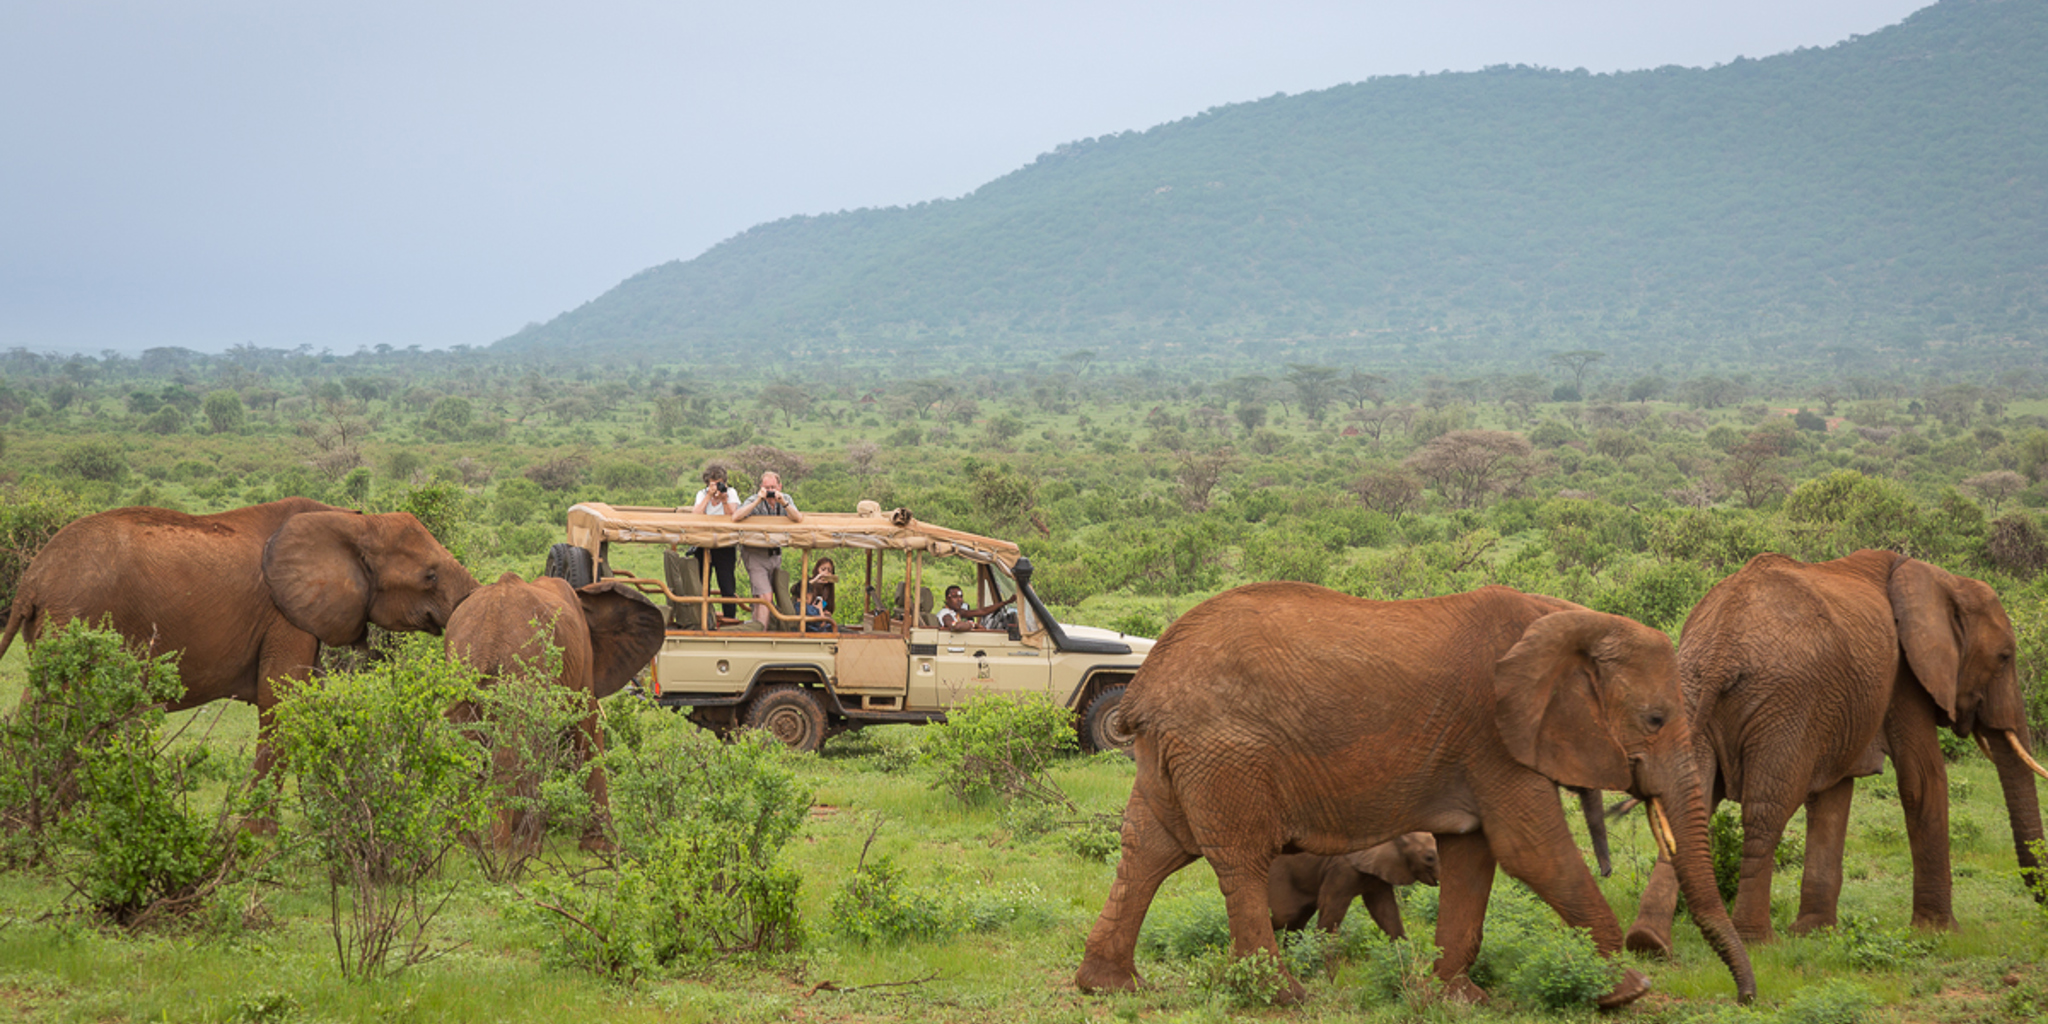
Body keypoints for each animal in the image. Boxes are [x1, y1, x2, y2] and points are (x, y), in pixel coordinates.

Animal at [0, 498, 479, 781]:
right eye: (429, 576)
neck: (352, 521)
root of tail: (33, 577)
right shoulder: (284, 614)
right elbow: (282, 701)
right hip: (75, 616)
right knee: (55, 705)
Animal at [443, 572, 666, 851]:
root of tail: (488, 637)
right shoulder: (584, 663)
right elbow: (588, 733)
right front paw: (600, 847)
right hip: (522, 669)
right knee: (514, 752)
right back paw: (512, 848)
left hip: (462, 669)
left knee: (466, 752)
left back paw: (466, 845)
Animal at [1624, 550, 2047, 956]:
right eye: (2004, 657)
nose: (2040, 899)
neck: (1941, 579)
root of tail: (1720, 650)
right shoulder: (1903, 676)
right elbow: (1922, 780)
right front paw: (1940, 933)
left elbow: (1833, 796)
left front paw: (1814, 932)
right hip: (1785, 703)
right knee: (1767, 810)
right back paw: (1758, 941)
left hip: (1689, 695)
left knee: (1688, 801)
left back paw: (1649, 942)